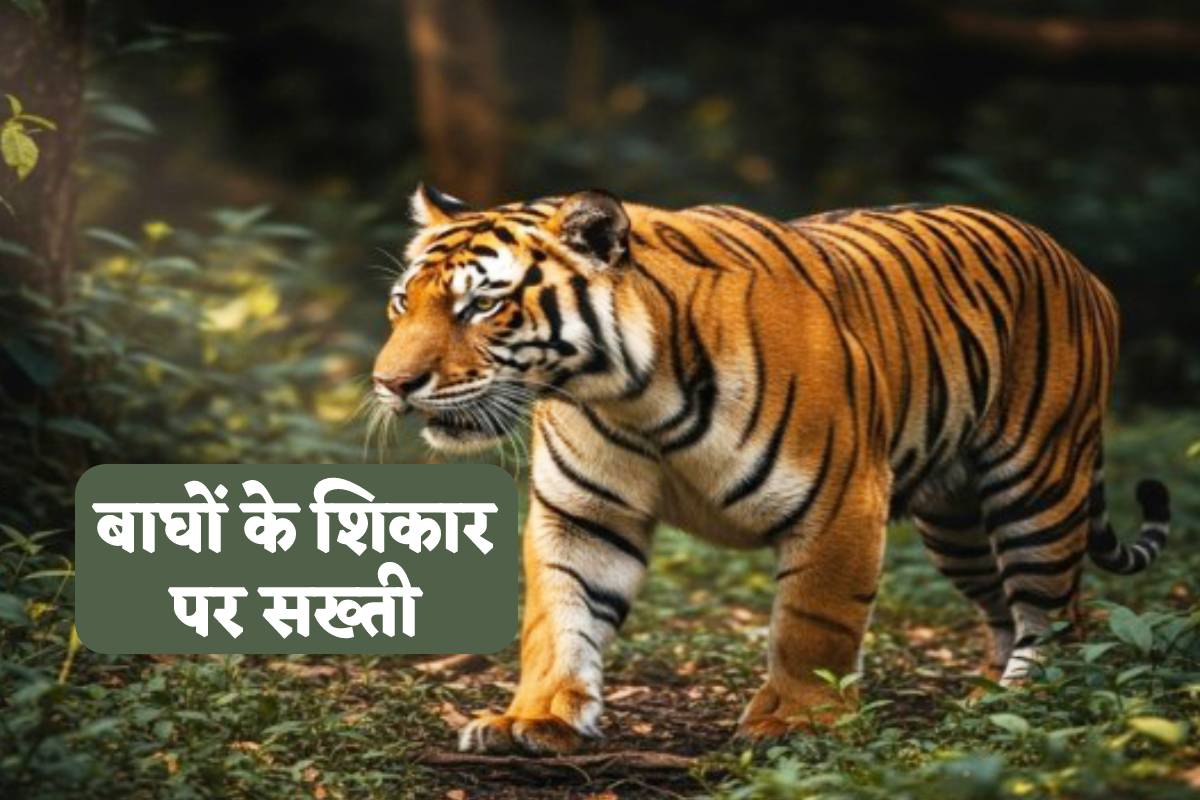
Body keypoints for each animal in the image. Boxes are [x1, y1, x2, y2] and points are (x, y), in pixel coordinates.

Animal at [371, 183, 1171, 755]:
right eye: (401, 302)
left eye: (482, 306)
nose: (391, 384)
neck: (627, 396)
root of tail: (1075, 262)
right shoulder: (582, 515)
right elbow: (558, 615)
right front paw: (534, 719)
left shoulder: (842, 500)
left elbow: (813, 624)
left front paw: (798, 725)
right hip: (957, 521)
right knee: (1006, 607)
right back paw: (989, 697)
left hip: (1034, 486)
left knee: (1059, 611)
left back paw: (1036, 700)